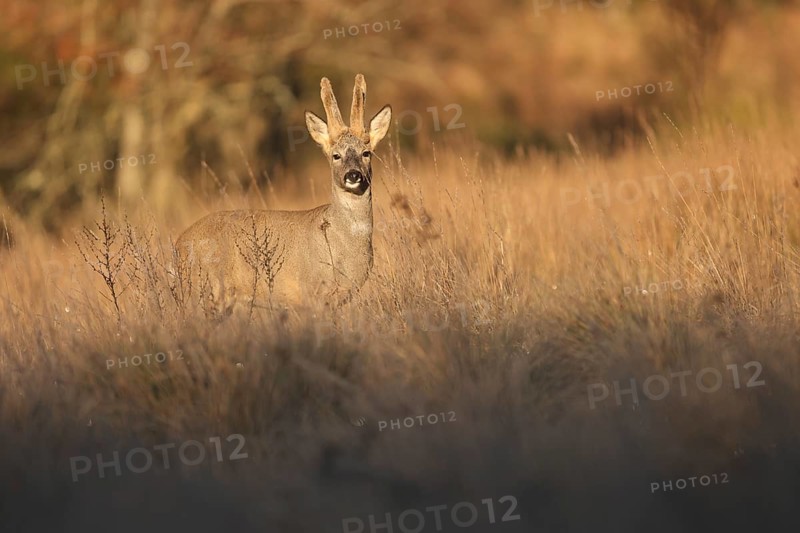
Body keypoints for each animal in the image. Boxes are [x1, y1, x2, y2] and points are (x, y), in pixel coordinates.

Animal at [174, 74, 392, 317]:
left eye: (366, 153)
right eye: (336, 155)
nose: (353, 175)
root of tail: (178, 245)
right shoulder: (310, 290)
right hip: (203, 292)